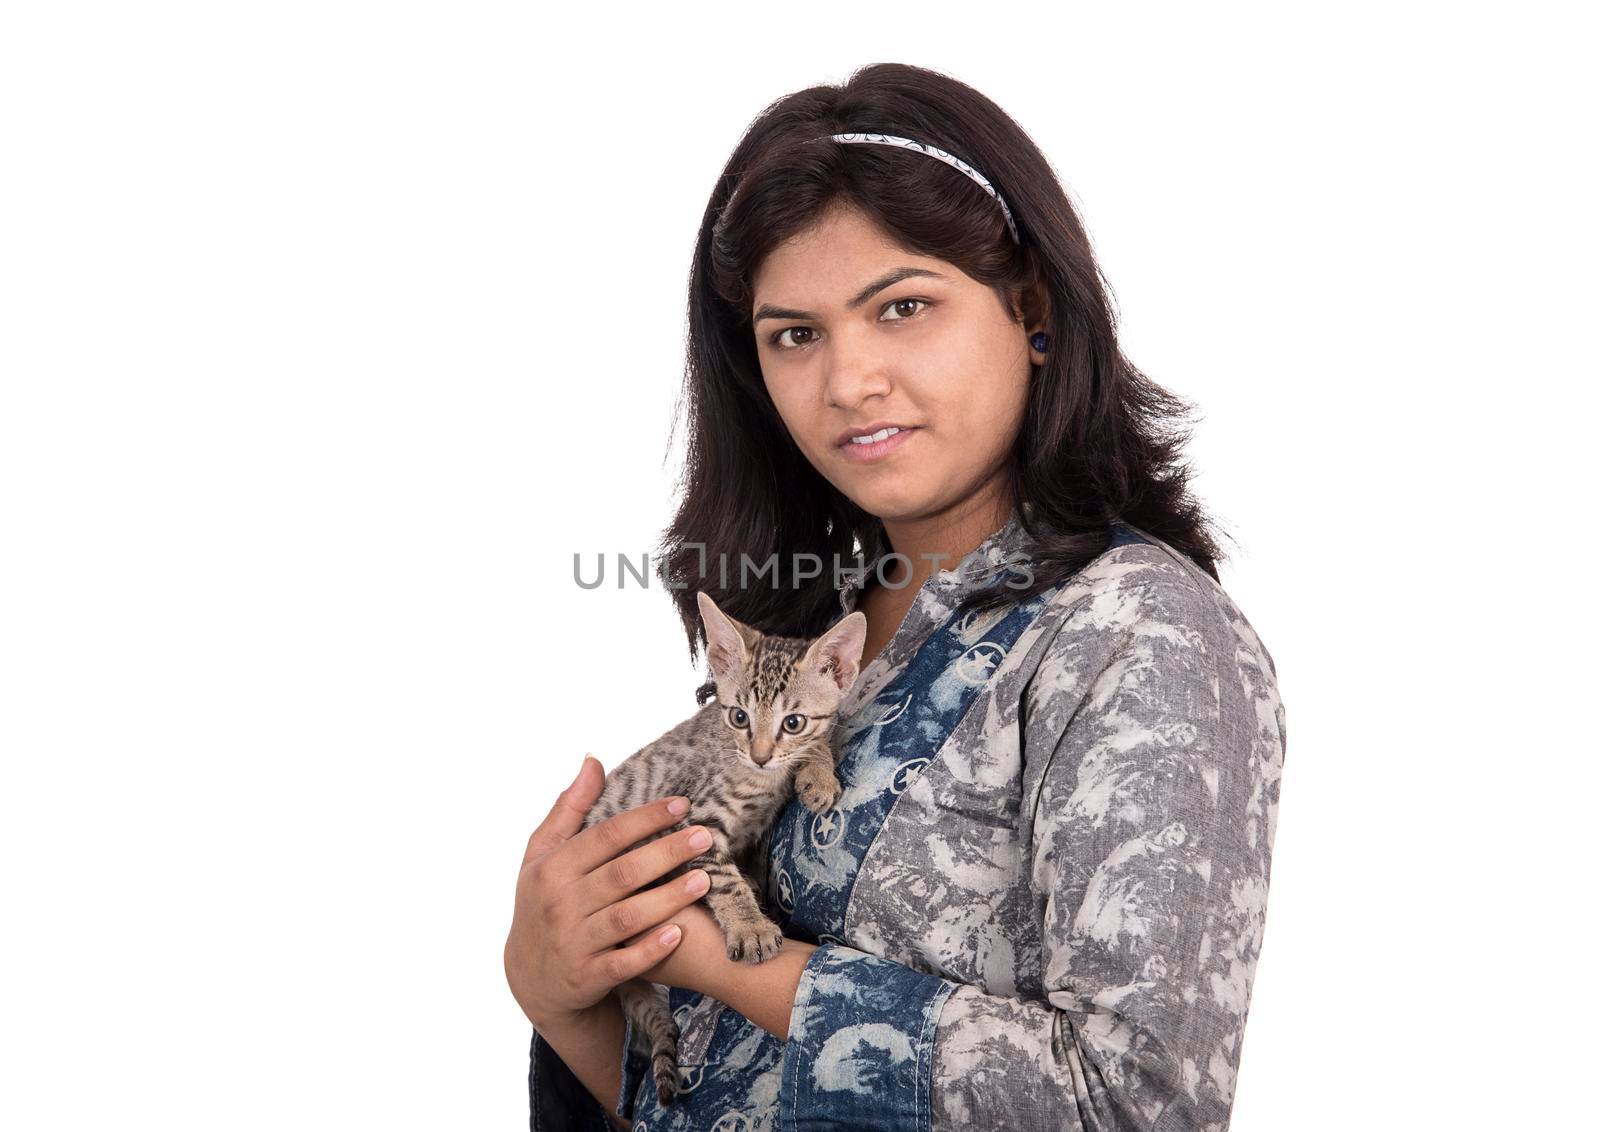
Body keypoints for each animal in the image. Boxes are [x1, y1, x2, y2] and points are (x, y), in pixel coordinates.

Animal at [585, 597, 870, 1112]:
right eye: (739, 717)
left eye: (792, 722)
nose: (759, 755)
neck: (760, 779)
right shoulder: (692, 824)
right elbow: (723, 879)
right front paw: (750, 926)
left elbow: (811, 749)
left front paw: (817, 772)